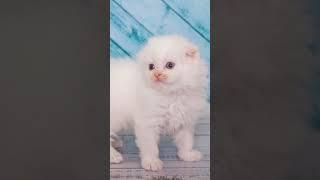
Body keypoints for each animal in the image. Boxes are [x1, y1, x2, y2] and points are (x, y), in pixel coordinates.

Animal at [110, 34, 210, 171]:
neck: (171, 95)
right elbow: (150, 146)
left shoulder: (184, 121)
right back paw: (113, 156)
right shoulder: (147, 123)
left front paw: (187, 155)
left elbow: (186, 141)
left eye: (170, 65)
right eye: (151, 67)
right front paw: (151, 162)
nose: (157, 74)